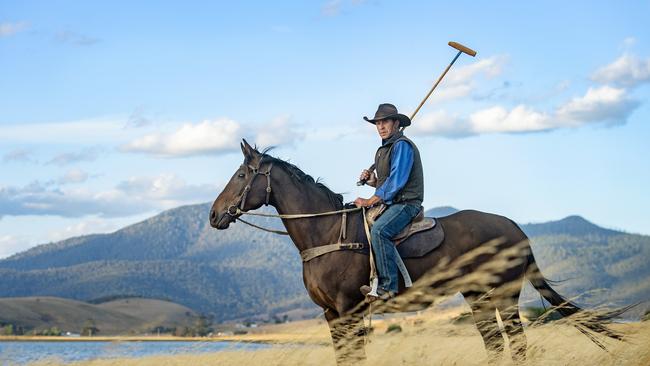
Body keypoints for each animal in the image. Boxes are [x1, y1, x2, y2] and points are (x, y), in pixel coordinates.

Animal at [210, 139, 624, 364]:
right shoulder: (331, 314)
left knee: (517, 342)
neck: (325, 232)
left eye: (241, 175)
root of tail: (516, 228)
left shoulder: (349, 309)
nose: (214, 215)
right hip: (477, 294)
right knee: (494, 342)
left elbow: (355, 357)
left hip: (505, 292)